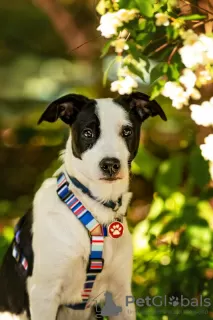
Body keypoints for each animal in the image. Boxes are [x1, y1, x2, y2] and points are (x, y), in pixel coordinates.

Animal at [0, 91, 166, 318]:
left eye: (127, 131)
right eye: (88, 133)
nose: (110, 165)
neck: (94, 209)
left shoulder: (121, 293)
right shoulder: (43, 295)